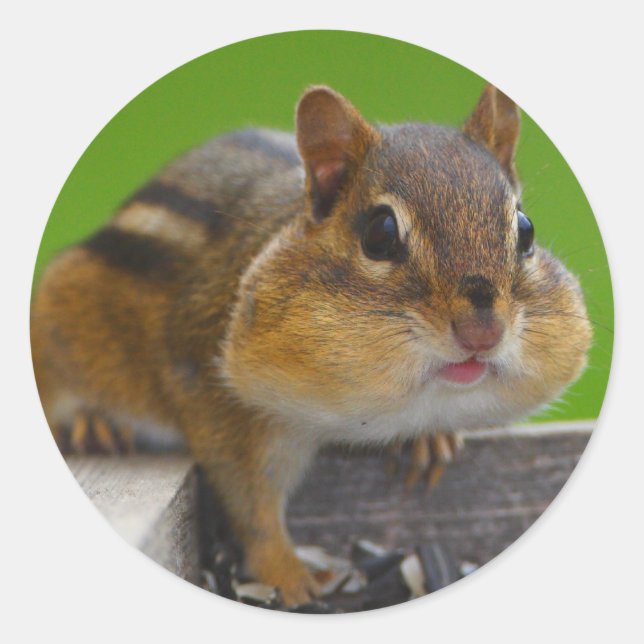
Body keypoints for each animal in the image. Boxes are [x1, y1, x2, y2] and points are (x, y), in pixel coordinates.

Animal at [31, 84, 592, 605]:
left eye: (525, 230)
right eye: (381, 233)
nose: (482, 332)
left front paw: (429, 440)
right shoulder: (215, 398)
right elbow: (251, 504)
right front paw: (288, 578)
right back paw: (93, 424)